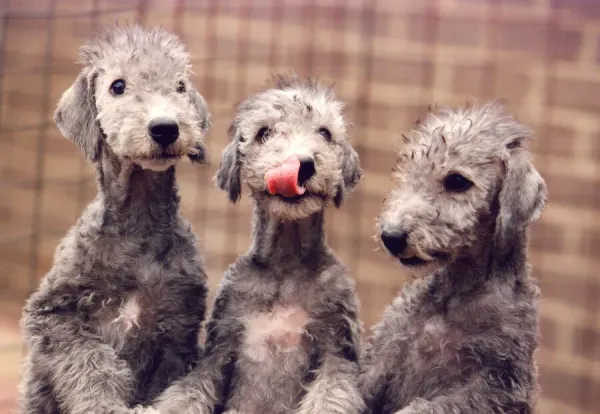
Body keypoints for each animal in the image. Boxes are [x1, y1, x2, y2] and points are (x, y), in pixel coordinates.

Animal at [19, 25, 212, 414]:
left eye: (180, 86)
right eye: (117, 86)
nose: (165, 128)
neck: (138, 223)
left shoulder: (177, 331)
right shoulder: (53, 314)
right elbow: (90, 362)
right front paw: (103, 403)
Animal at [150, 74, 366, 414]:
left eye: (325, 132)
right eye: (263, 132)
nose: (302, 164)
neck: (286, 266)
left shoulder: (336, 347)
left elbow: (330, 395)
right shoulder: (221, 345)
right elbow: (188, 392)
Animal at [360, 102, 548, 414]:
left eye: (458, 181)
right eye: (408, 173)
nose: (391, 237)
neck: (457, 294)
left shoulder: (498, 384)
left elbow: (429, 406)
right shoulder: (384, 354)